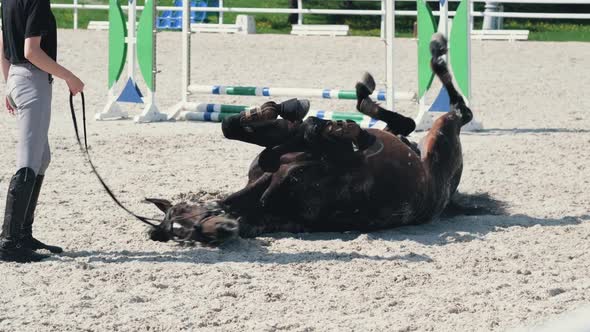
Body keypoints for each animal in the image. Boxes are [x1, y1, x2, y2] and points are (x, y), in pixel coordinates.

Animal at [147, 33, 476, 245]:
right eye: (187, 235)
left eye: (185, 212)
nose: (223, 230)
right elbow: (327, 134)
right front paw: (337, 129)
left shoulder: (285, 143)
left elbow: (234, 127)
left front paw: (279, 108)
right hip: (442, 140)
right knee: (453, 113)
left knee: (416, 119)